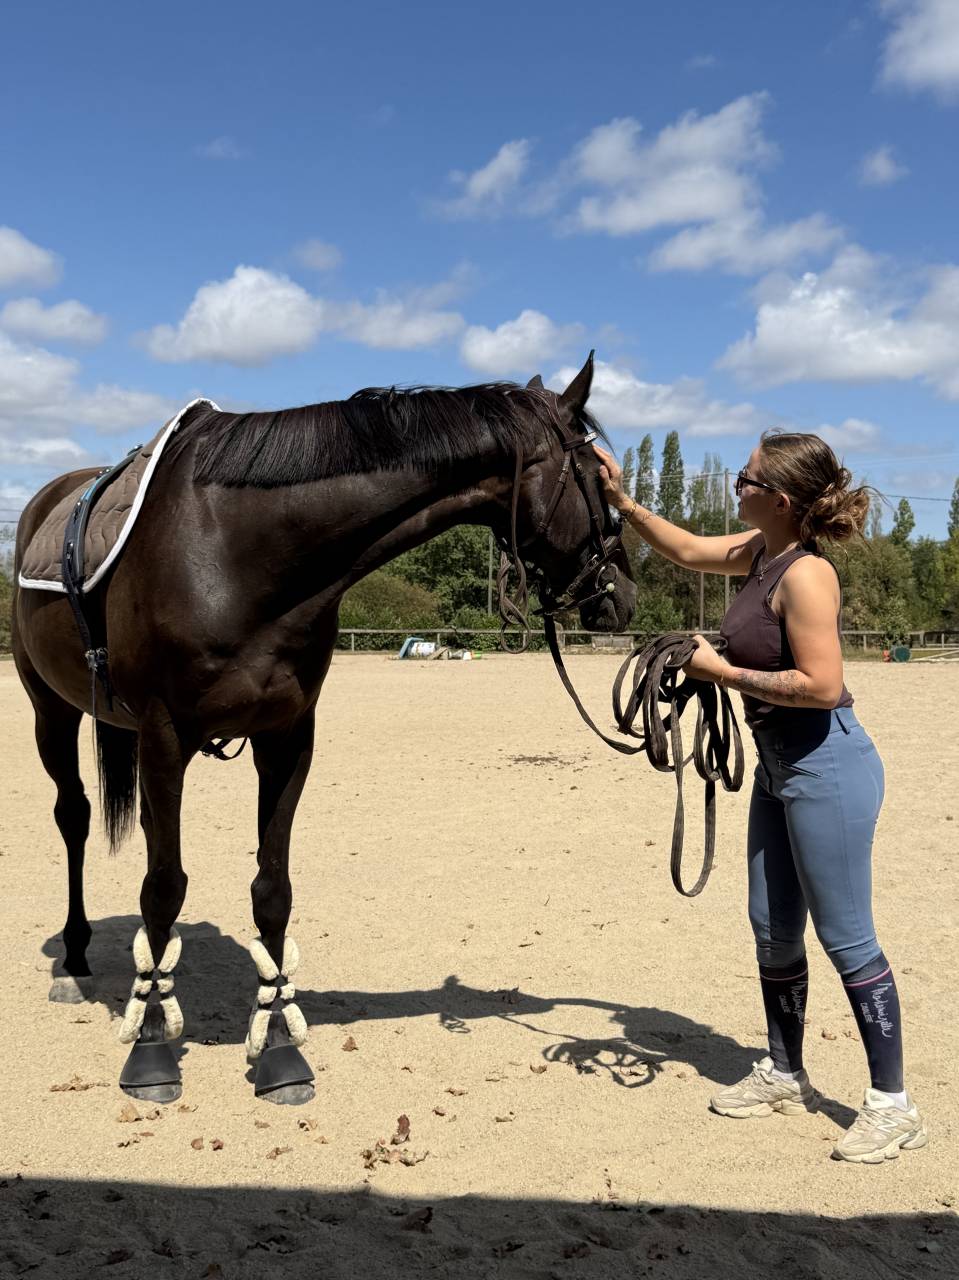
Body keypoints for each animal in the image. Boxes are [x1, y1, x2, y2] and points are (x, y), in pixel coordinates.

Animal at [12, 352, 637, 1106]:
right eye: (600, 476)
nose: (623, 595)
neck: (234, 551)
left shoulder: (287, 739)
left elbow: (271, 892)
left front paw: (280, 1047)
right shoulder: (164, 737)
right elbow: (163, 886)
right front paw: (152, 1047)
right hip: (51, 709)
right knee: (72, 818)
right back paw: (73, 960)